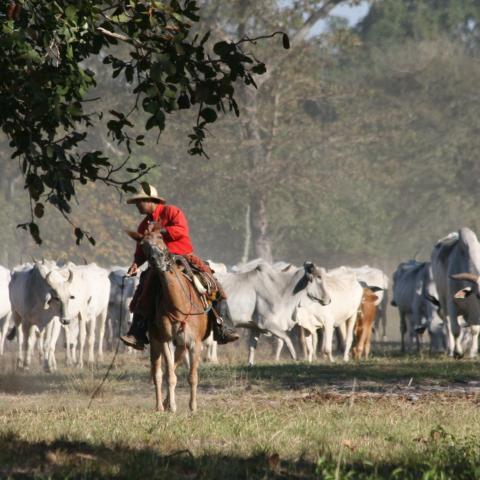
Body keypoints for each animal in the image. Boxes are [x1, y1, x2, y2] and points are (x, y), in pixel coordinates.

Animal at [127, 225, 210, 412]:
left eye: (161, 237)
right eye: (142, 244)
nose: (157, 258)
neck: (179, 305)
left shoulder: (194, 342)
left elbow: (191, 375)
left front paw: (193, 407)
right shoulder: (165, 339)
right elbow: (169, 375)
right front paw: (171, 406)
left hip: (181, 344)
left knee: (174, 364)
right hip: (156, 341)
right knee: (158, 372)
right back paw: (160, 406)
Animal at [432, 227, 480, 358]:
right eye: (478, 295)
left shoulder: (474, 312)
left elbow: (475, 329)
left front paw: (472, 353)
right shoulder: (452, 303)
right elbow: (455, 330)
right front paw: (458, 352)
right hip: (444, 302)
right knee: (448, 325)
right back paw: (450, 351)